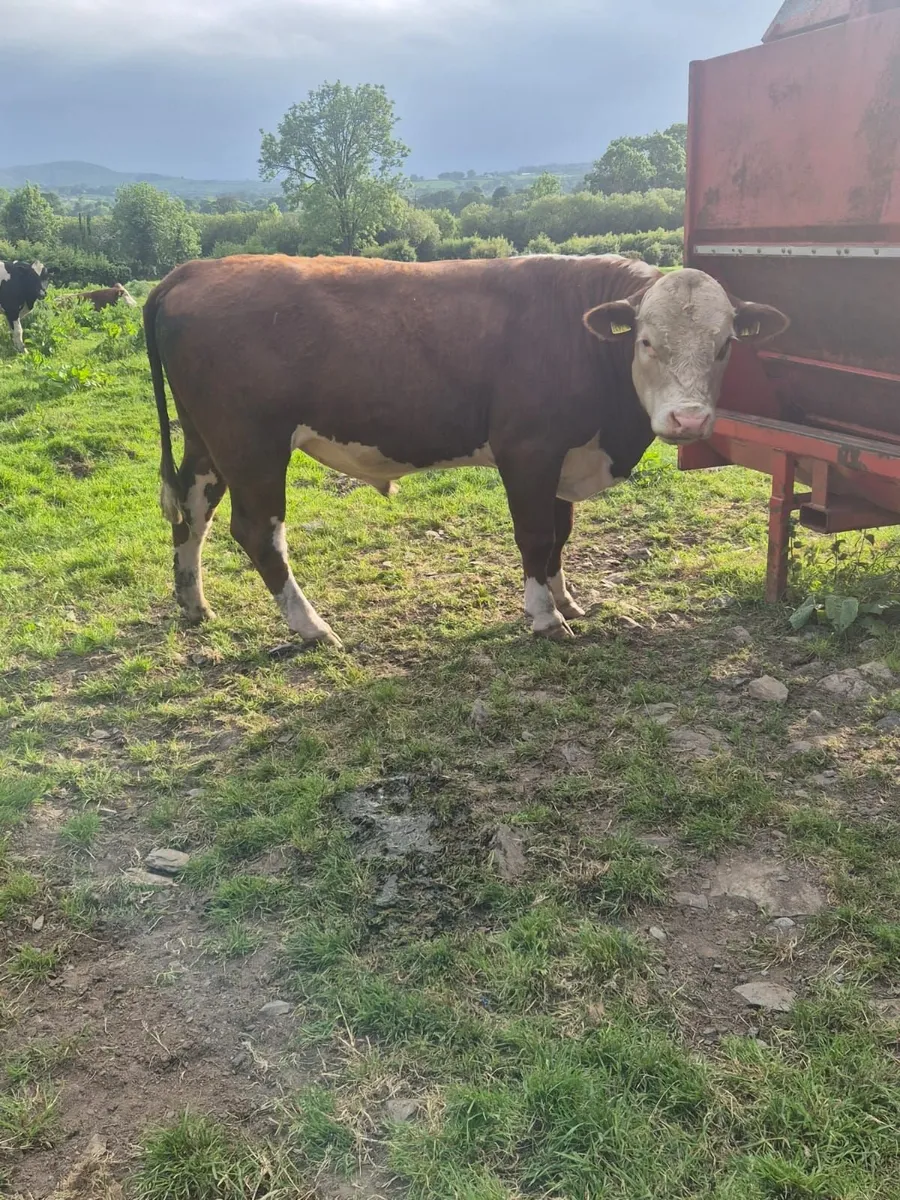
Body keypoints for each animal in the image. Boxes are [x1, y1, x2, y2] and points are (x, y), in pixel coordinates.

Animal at [144, 254, 789, 648]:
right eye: (647, 342)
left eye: (725, 345)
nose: (689, 418)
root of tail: (194, 269)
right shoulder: (528, 449)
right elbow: (535, 535)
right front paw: (544, 617)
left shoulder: (564, 456)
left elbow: (561, 533)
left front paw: (568, 599)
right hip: (251, 445)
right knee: (258, 532)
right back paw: (312, 627)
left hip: (206, 441)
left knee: (194, 513)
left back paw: (194, 603)